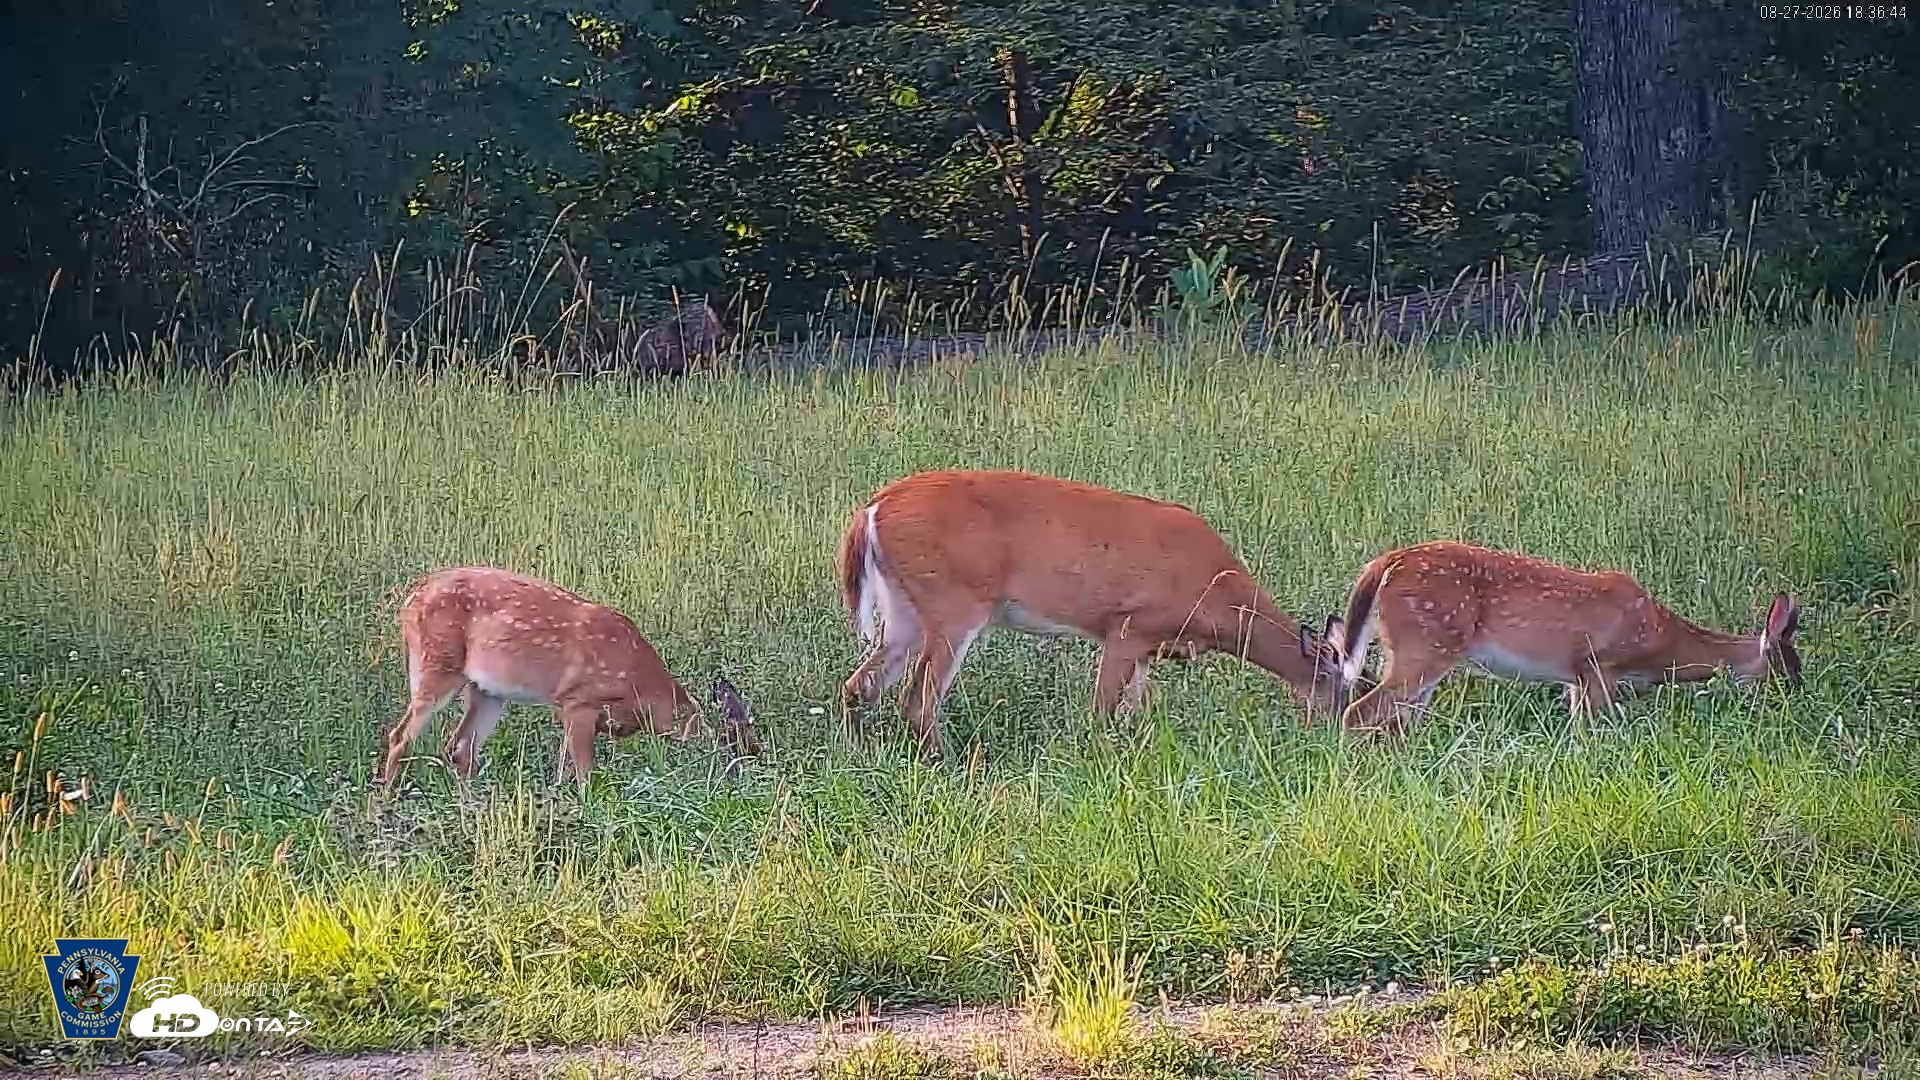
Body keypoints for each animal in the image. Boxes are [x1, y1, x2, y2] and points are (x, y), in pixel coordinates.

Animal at [378, 566, 758, 789]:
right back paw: (383, 806)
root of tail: (408, 602)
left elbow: (564, 771)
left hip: (488, 690)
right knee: (400, 736)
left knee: (460, 748)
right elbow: (585, 774)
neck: (642, 692)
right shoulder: (577, 701)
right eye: (739, 750)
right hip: (436, 665)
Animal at [835, 469, 1361, 759]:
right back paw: (953, 765)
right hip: (954, 600)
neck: (1218, 595)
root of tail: (871, 510)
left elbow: (1133, 711)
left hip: (903, 610)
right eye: (1345, 686)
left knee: (860, 685)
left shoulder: (1148, 646)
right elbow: (1101, 710)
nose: (1346, 736)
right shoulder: (1127, 625)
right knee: (918, 698)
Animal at [1319, 540, 1803, 735]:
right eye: (1790, 669)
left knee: (1398, 716)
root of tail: (1383, 564)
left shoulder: (1574, 678)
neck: (1663, 643)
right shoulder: (1600, 666)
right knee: (1360, 712)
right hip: (1425, 643)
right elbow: (1596, 727)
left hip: (1419, 650)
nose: (1799, 697)